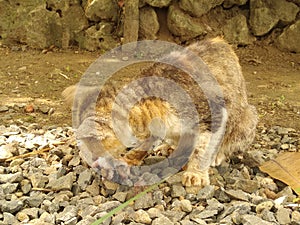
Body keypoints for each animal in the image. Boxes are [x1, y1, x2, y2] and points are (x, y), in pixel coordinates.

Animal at [62, 37, 256, 188]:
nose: (91, 160)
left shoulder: (213, 112)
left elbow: (202, 148)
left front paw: (196, 173)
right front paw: (126, 161)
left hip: (248, 118)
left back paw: (215, 155)